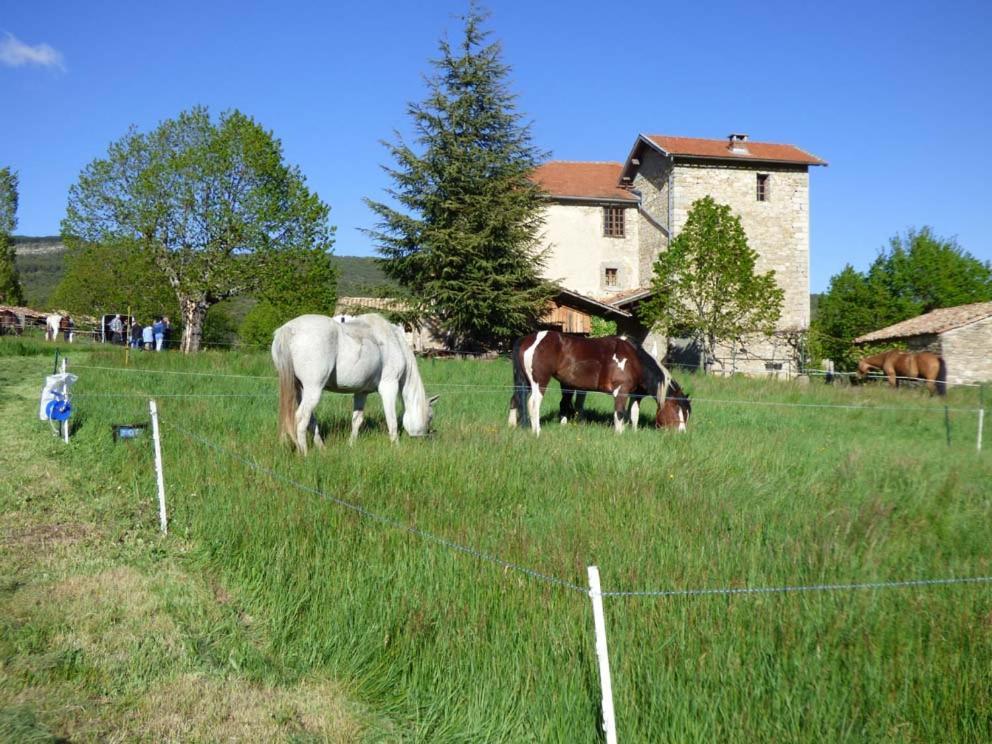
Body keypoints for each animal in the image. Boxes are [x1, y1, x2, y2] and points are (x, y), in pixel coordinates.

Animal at [274, 310, 440, 450]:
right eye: (430, 417)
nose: (424, 438)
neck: (394, 341)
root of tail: (288, 329)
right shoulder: (389, 386)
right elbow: (391, 420)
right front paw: (396, 447)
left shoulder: (362, 392)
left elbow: (357, 420)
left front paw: (351, 444)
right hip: (313, 389)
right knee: (302, 418)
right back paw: (304, 453)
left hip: (300, 390)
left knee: (311, 420)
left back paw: (322, 448)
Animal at [512, 332, 688, 436]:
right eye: (676, 409)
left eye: (687, 413)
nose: (682, 433)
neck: (634, 359)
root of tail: (529, 339)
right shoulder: (621, 391)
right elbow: (619, 413)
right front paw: (619, 434)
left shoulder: (634, 394)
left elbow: (634, 414)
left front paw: (633, 432)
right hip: (539, 382)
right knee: (533, 404)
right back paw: (537, 431)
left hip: (525, 382)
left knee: (515, 400)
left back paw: (512, 425)